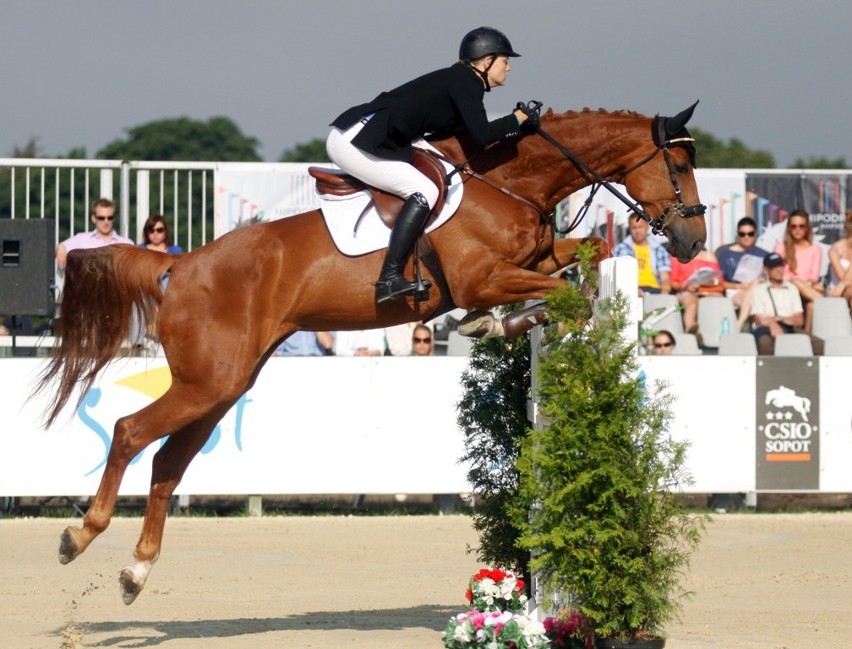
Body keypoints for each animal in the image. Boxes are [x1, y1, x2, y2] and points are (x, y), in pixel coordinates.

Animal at [33, 101, 704, 604]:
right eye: (678, 161)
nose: (693, 239)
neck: (510, 182)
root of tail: (179, 266)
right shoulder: (486, 277)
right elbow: (557, 292)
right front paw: (502, 321)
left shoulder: (532, 259)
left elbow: (586, 252)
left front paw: (506, 321)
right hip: (207, 382)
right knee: (128, 432)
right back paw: (78, 537)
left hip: (223, 385)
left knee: (168, 463)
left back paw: (135, 572)